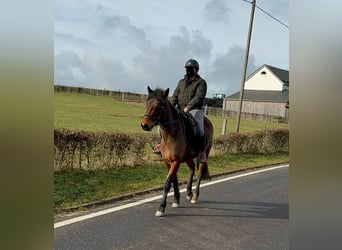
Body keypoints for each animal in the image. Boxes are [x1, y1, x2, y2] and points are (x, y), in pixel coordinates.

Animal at [140, 86, 212, 217]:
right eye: (147, 103)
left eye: (158, 106)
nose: (144, 125)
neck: (171, 134)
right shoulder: (167, 162)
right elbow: (174, 181)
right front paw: (176, 200)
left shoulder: (176, 161)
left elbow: (167, 184)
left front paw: (161, 208)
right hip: (188, 157)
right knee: (191, 168)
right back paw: (188, 193)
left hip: (204, 155)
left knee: (199, 172)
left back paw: (194, 196)